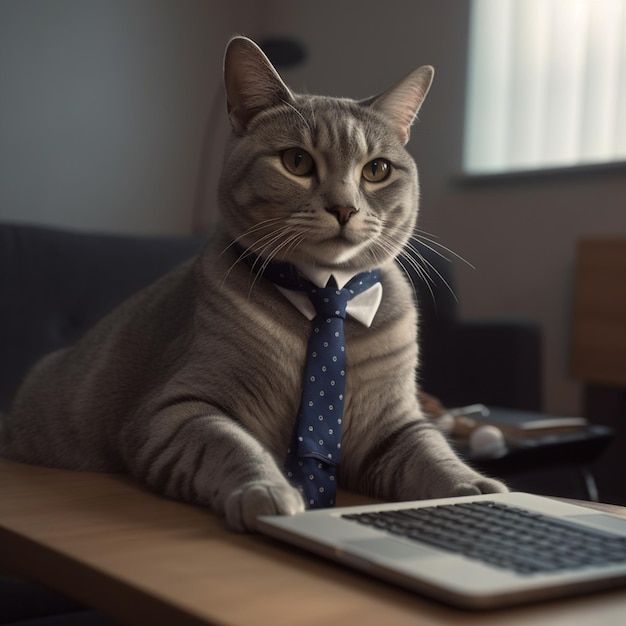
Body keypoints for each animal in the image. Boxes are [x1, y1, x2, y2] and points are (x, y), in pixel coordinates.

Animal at [0, 36, 504, 528]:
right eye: (297, 161)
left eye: (376, 170)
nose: (345, 208)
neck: (328, 298)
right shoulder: (178, 408)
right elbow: (230, 444)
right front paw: (267, 490)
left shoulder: (393, 423)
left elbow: (431, 453)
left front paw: (475, 488)